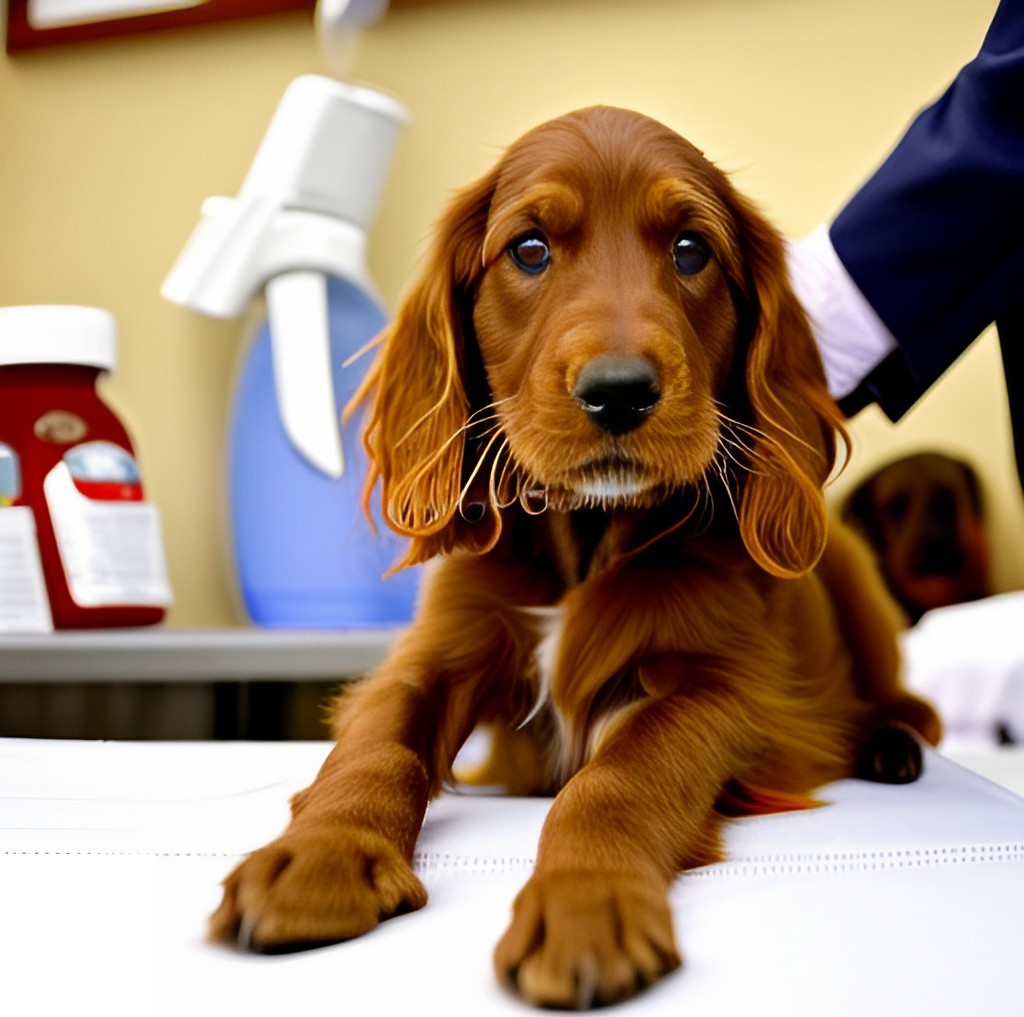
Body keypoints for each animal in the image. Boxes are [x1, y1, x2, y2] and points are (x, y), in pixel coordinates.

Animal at [207, 107, 942, 1003]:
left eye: (691, 249)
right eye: (530, 249)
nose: (618, 390)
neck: (590, 534)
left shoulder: (716, 685)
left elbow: (618, 774)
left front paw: (587, 901)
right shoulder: (438, 648)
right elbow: (376, 742)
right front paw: (320, 854)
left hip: (853, 578)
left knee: (906, 698)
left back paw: (890, 743)